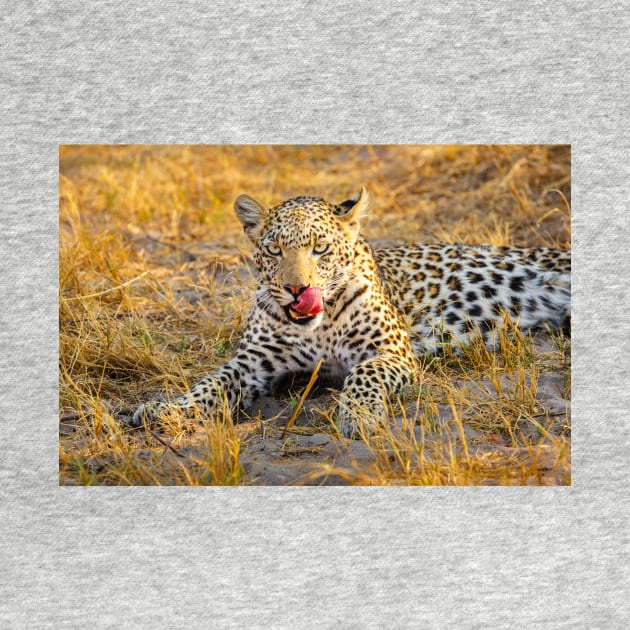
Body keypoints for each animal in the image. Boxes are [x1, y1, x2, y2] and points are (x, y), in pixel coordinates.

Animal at [132, 189, 572, 440]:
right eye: (274, 250)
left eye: (320, 249)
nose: (297, 290)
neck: (319, 326)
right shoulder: (252, 363)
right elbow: (209, 383)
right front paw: (166, 408)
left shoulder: (393, 352)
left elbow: (363, 374)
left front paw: (358, 417)